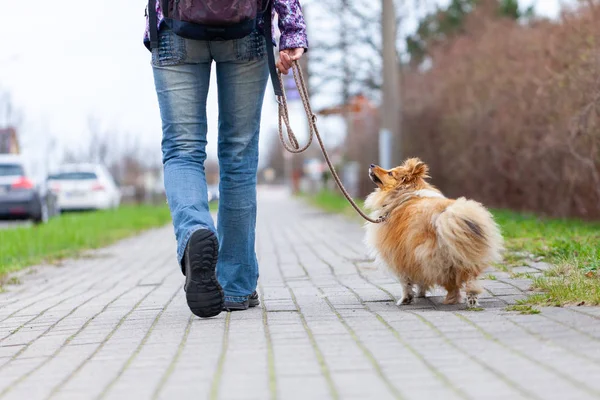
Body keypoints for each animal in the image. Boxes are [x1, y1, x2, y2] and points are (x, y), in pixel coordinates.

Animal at [364, 158, 504, 308]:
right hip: (464, 255)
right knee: (470, 279)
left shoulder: (399, 255)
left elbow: (405, 282)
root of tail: (445, 213)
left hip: (434, 258)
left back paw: (451, 300)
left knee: (451, 284)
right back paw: (471, 300)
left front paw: (406, 299)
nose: (372, 164)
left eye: (390, 173)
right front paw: (420, 293)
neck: (404, 194)